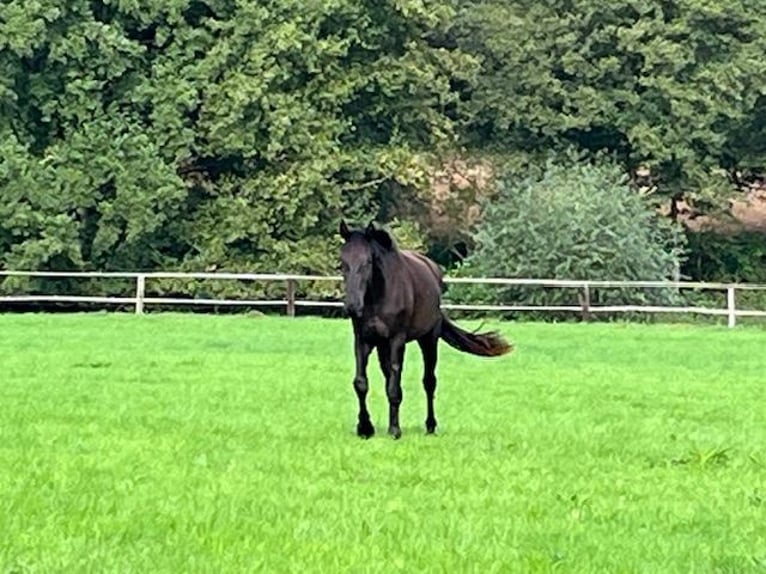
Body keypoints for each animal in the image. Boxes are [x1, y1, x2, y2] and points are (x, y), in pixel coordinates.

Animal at [340, 220, 510, 440]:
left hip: (429, 339)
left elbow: (395, 387)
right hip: (383, 346)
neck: (378, 297)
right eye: (342, 262)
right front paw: (365, 428)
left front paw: (395, 430)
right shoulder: (363, 340)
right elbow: (361, 383)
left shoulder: (397, 340)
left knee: (429, 381)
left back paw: (430, 425)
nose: (352, 306)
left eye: (367, 262)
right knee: (389, 378)